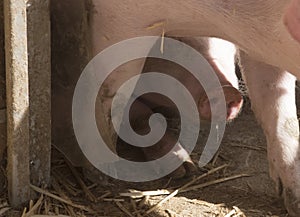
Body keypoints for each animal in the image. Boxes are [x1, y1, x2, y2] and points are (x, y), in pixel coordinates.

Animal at [87, 0, 300, 215]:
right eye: (169, 42)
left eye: (223, 43)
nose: (225, 91)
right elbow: (118, 104)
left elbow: (275, 105)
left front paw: (294, 202)